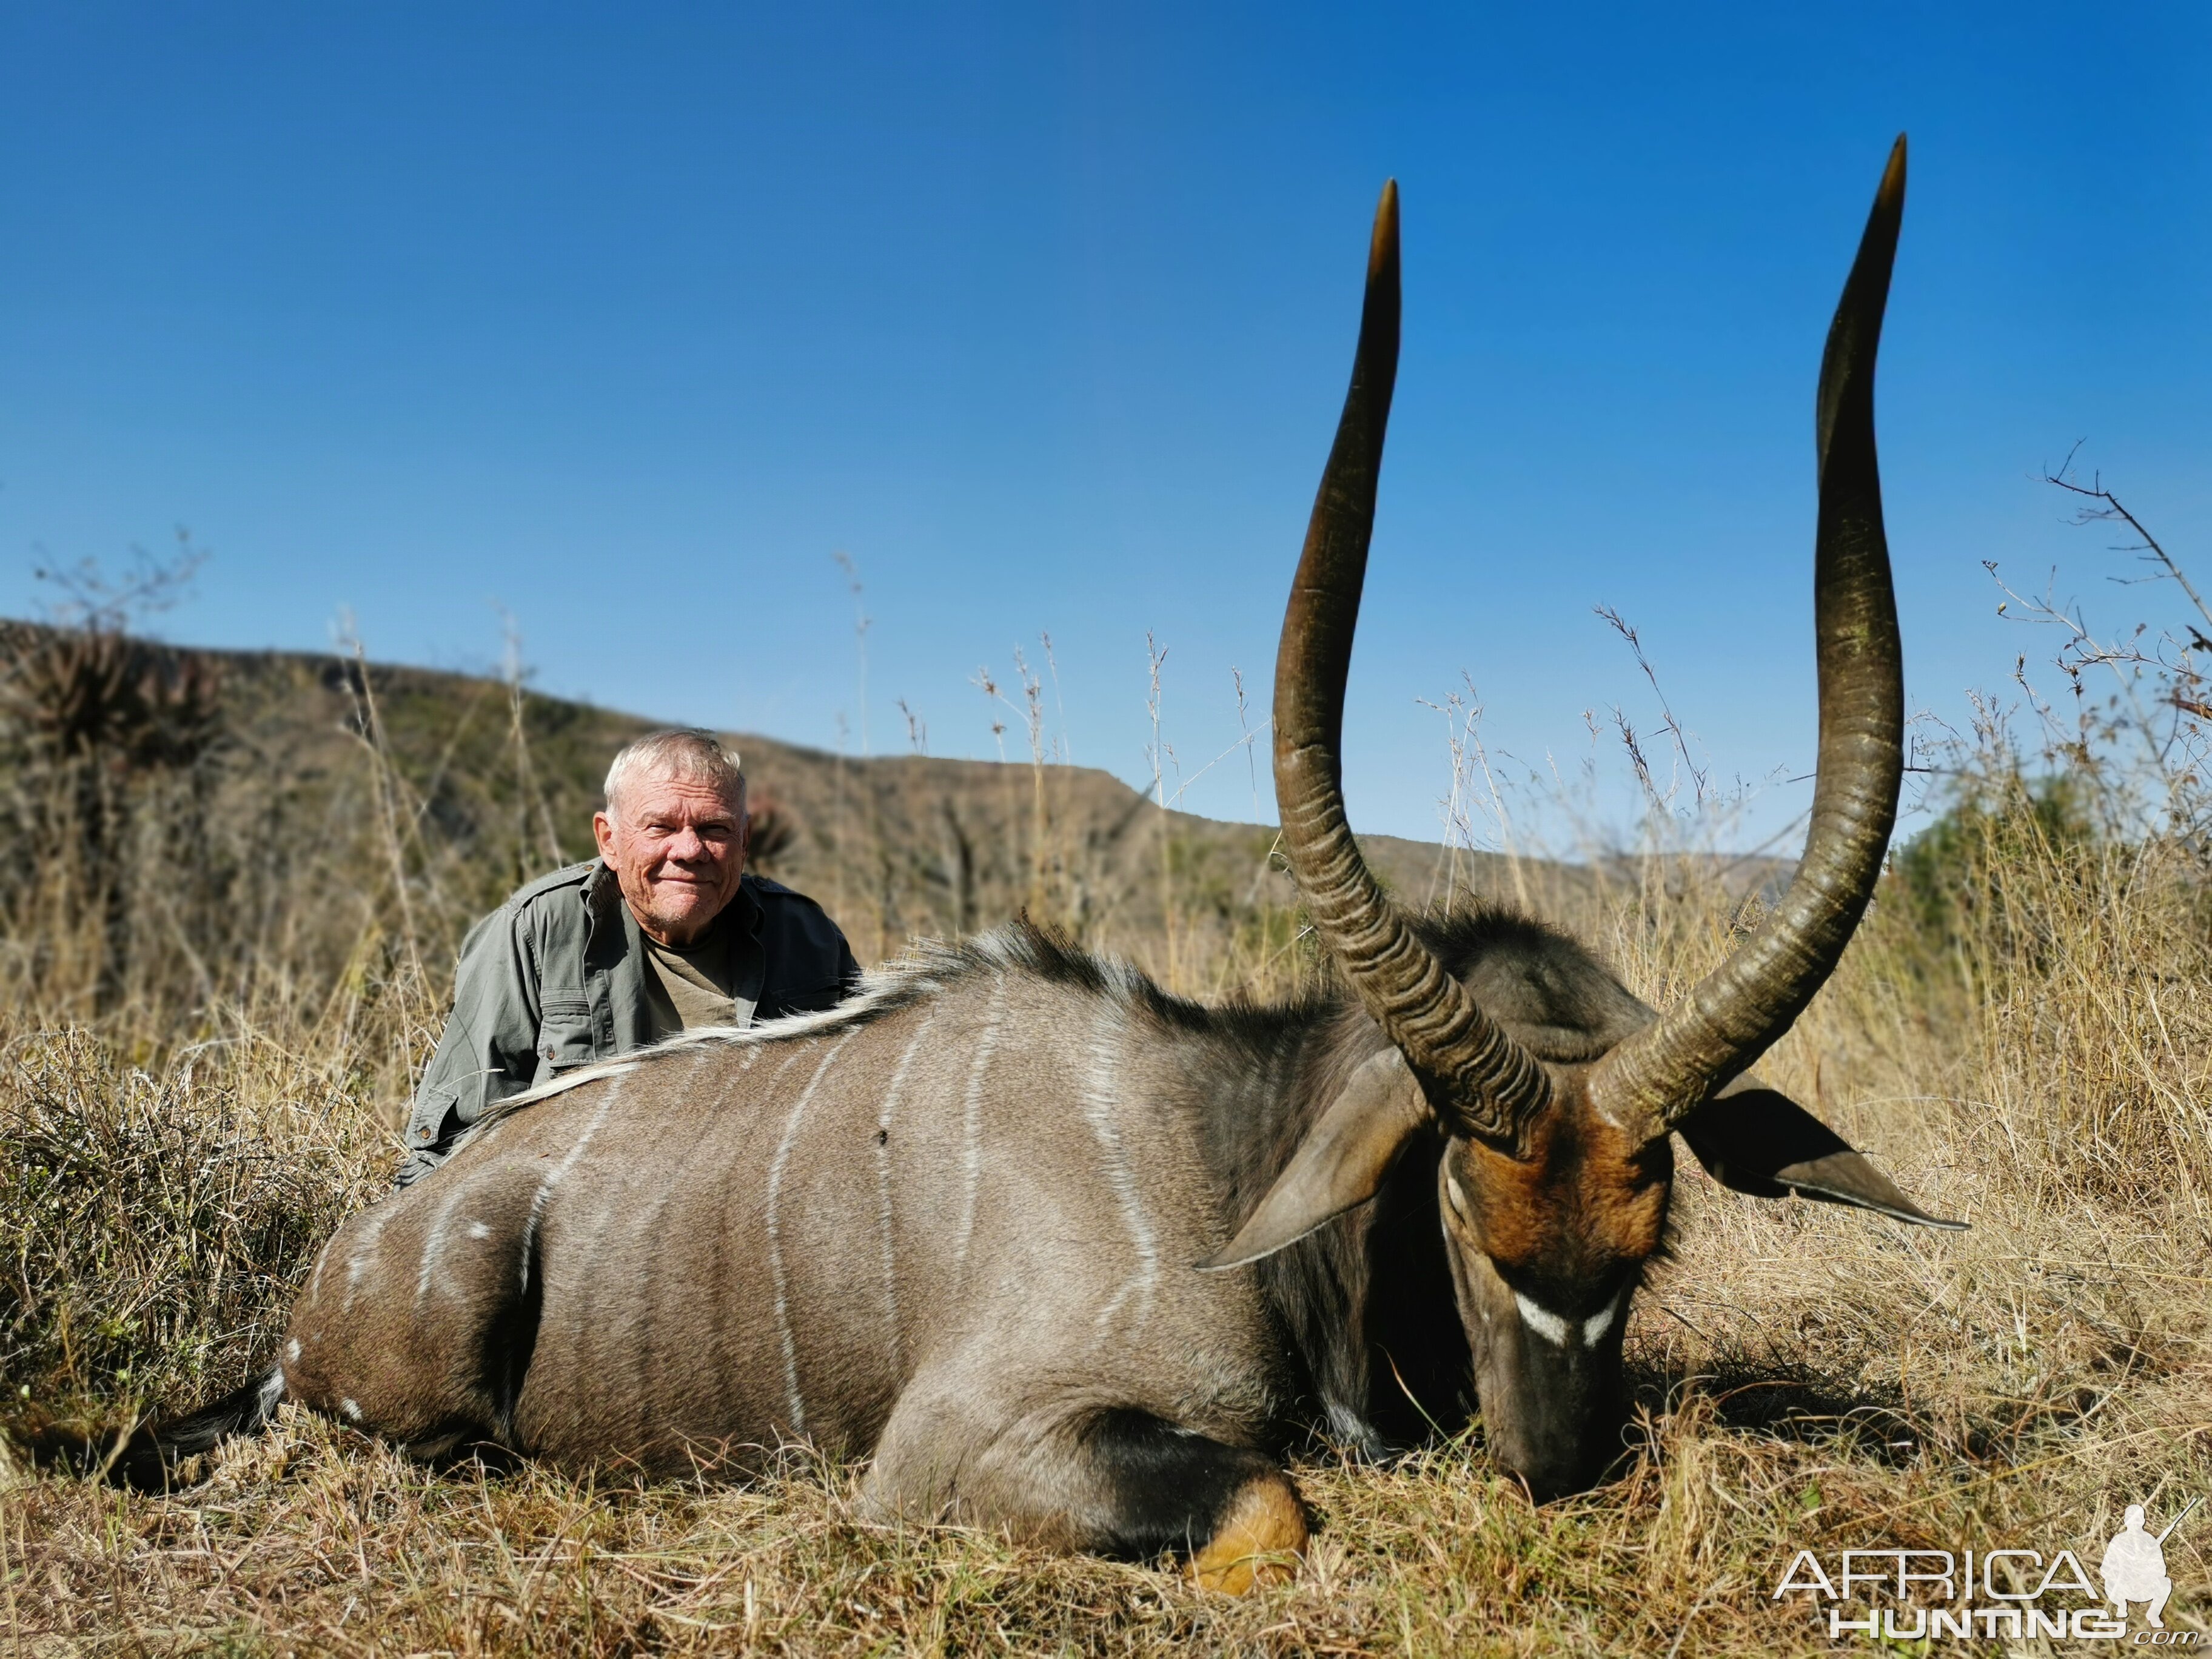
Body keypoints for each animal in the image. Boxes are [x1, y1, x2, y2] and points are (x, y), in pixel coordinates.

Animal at [133, 142, 1955, 1601]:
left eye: (1652, 1234)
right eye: (1454, 1193)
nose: (1561, 1462)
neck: (1219, 1157)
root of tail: (349, 1265)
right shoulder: (959, 1446)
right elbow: (1269, 1512)